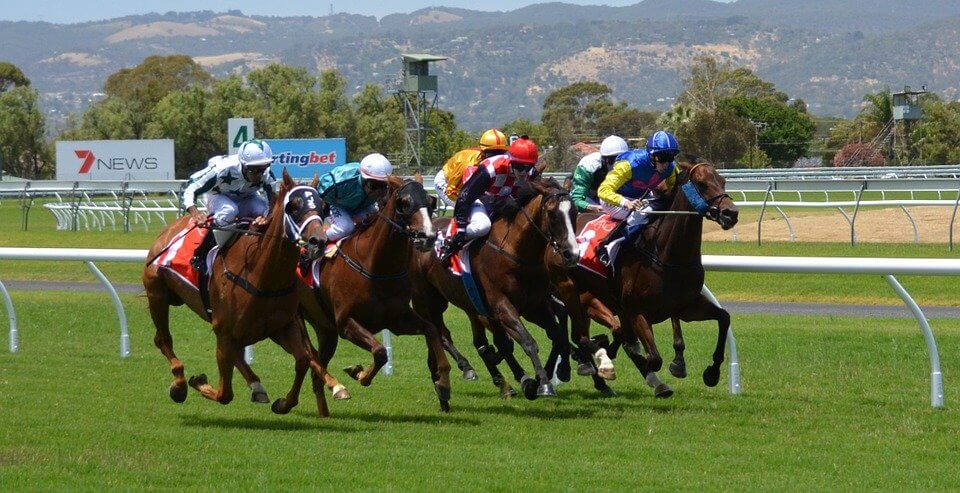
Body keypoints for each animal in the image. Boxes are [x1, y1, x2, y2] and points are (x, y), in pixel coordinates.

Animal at [142, 169, 330, 416]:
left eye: (323, 205)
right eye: (294, 206)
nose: (319, 240)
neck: (262, 274)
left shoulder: (283, 326)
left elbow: (303, 360)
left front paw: (283, 403)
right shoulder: (223, 331)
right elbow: (224, 394)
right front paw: (198, 382)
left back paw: (256, 386)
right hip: (157, 294)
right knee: (162, 339)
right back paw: (180, 385)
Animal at [298, 178, 452, 412]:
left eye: (430, 200)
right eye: (404, 203)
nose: (428, 236)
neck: (376, 266)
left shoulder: (398, 319)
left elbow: (432, 330)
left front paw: (443, 383)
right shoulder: (346, 323)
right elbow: (380, 352)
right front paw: (359, 373)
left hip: (325, 329)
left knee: (316, 371)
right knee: (306, 357)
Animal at [406, 177, 576, 400]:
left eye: (574, 212)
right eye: (553, 214)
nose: (571, 254)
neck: (515, 252)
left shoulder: (534, 306)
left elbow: (556, 336)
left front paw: (545, 377)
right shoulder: (501, 305)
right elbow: (527, 341)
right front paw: (544, 383)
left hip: (469, 306)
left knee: (480, 341)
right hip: (428, 301)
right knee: (440, 334)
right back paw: (466, 368)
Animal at [556, 161, 744, 396]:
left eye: (723, 181)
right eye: (702, 183)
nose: (731, 213)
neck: (666, 254)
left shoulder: (685, 307)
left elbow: (724, 317)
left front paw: (711, 372)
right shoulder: (637, 311)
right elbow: (652, 358)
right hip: (579, 295)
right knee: (580, 335)